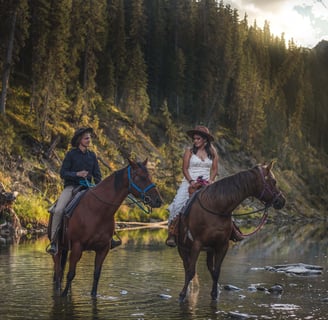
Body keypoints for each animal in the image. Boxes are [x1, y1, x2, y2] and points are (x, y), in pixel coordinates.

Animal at [51, 159, 163, 296]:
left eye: (150, 176)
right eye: (141, 177)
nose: (158, 201)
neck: (97, 211)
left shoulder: (103, 249)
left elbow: (96, 276)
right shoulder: (77, 247)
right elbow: (71, 274)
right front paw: (63, 295)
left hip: (66, 248)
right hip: (58, 250)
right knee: (58, 272)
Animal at [176, 161, 286, 302]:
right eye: (274, 181)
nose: (282, 201)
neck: (217, 208)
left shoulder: (222, 245)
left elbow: (216, 272)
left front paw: (215, 294)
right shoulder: (197, 244)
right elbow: (190, 271)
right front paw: (182, 295)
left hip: (209, 249)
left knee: (208, 267)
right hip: (183, 247)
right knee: (187, 267)